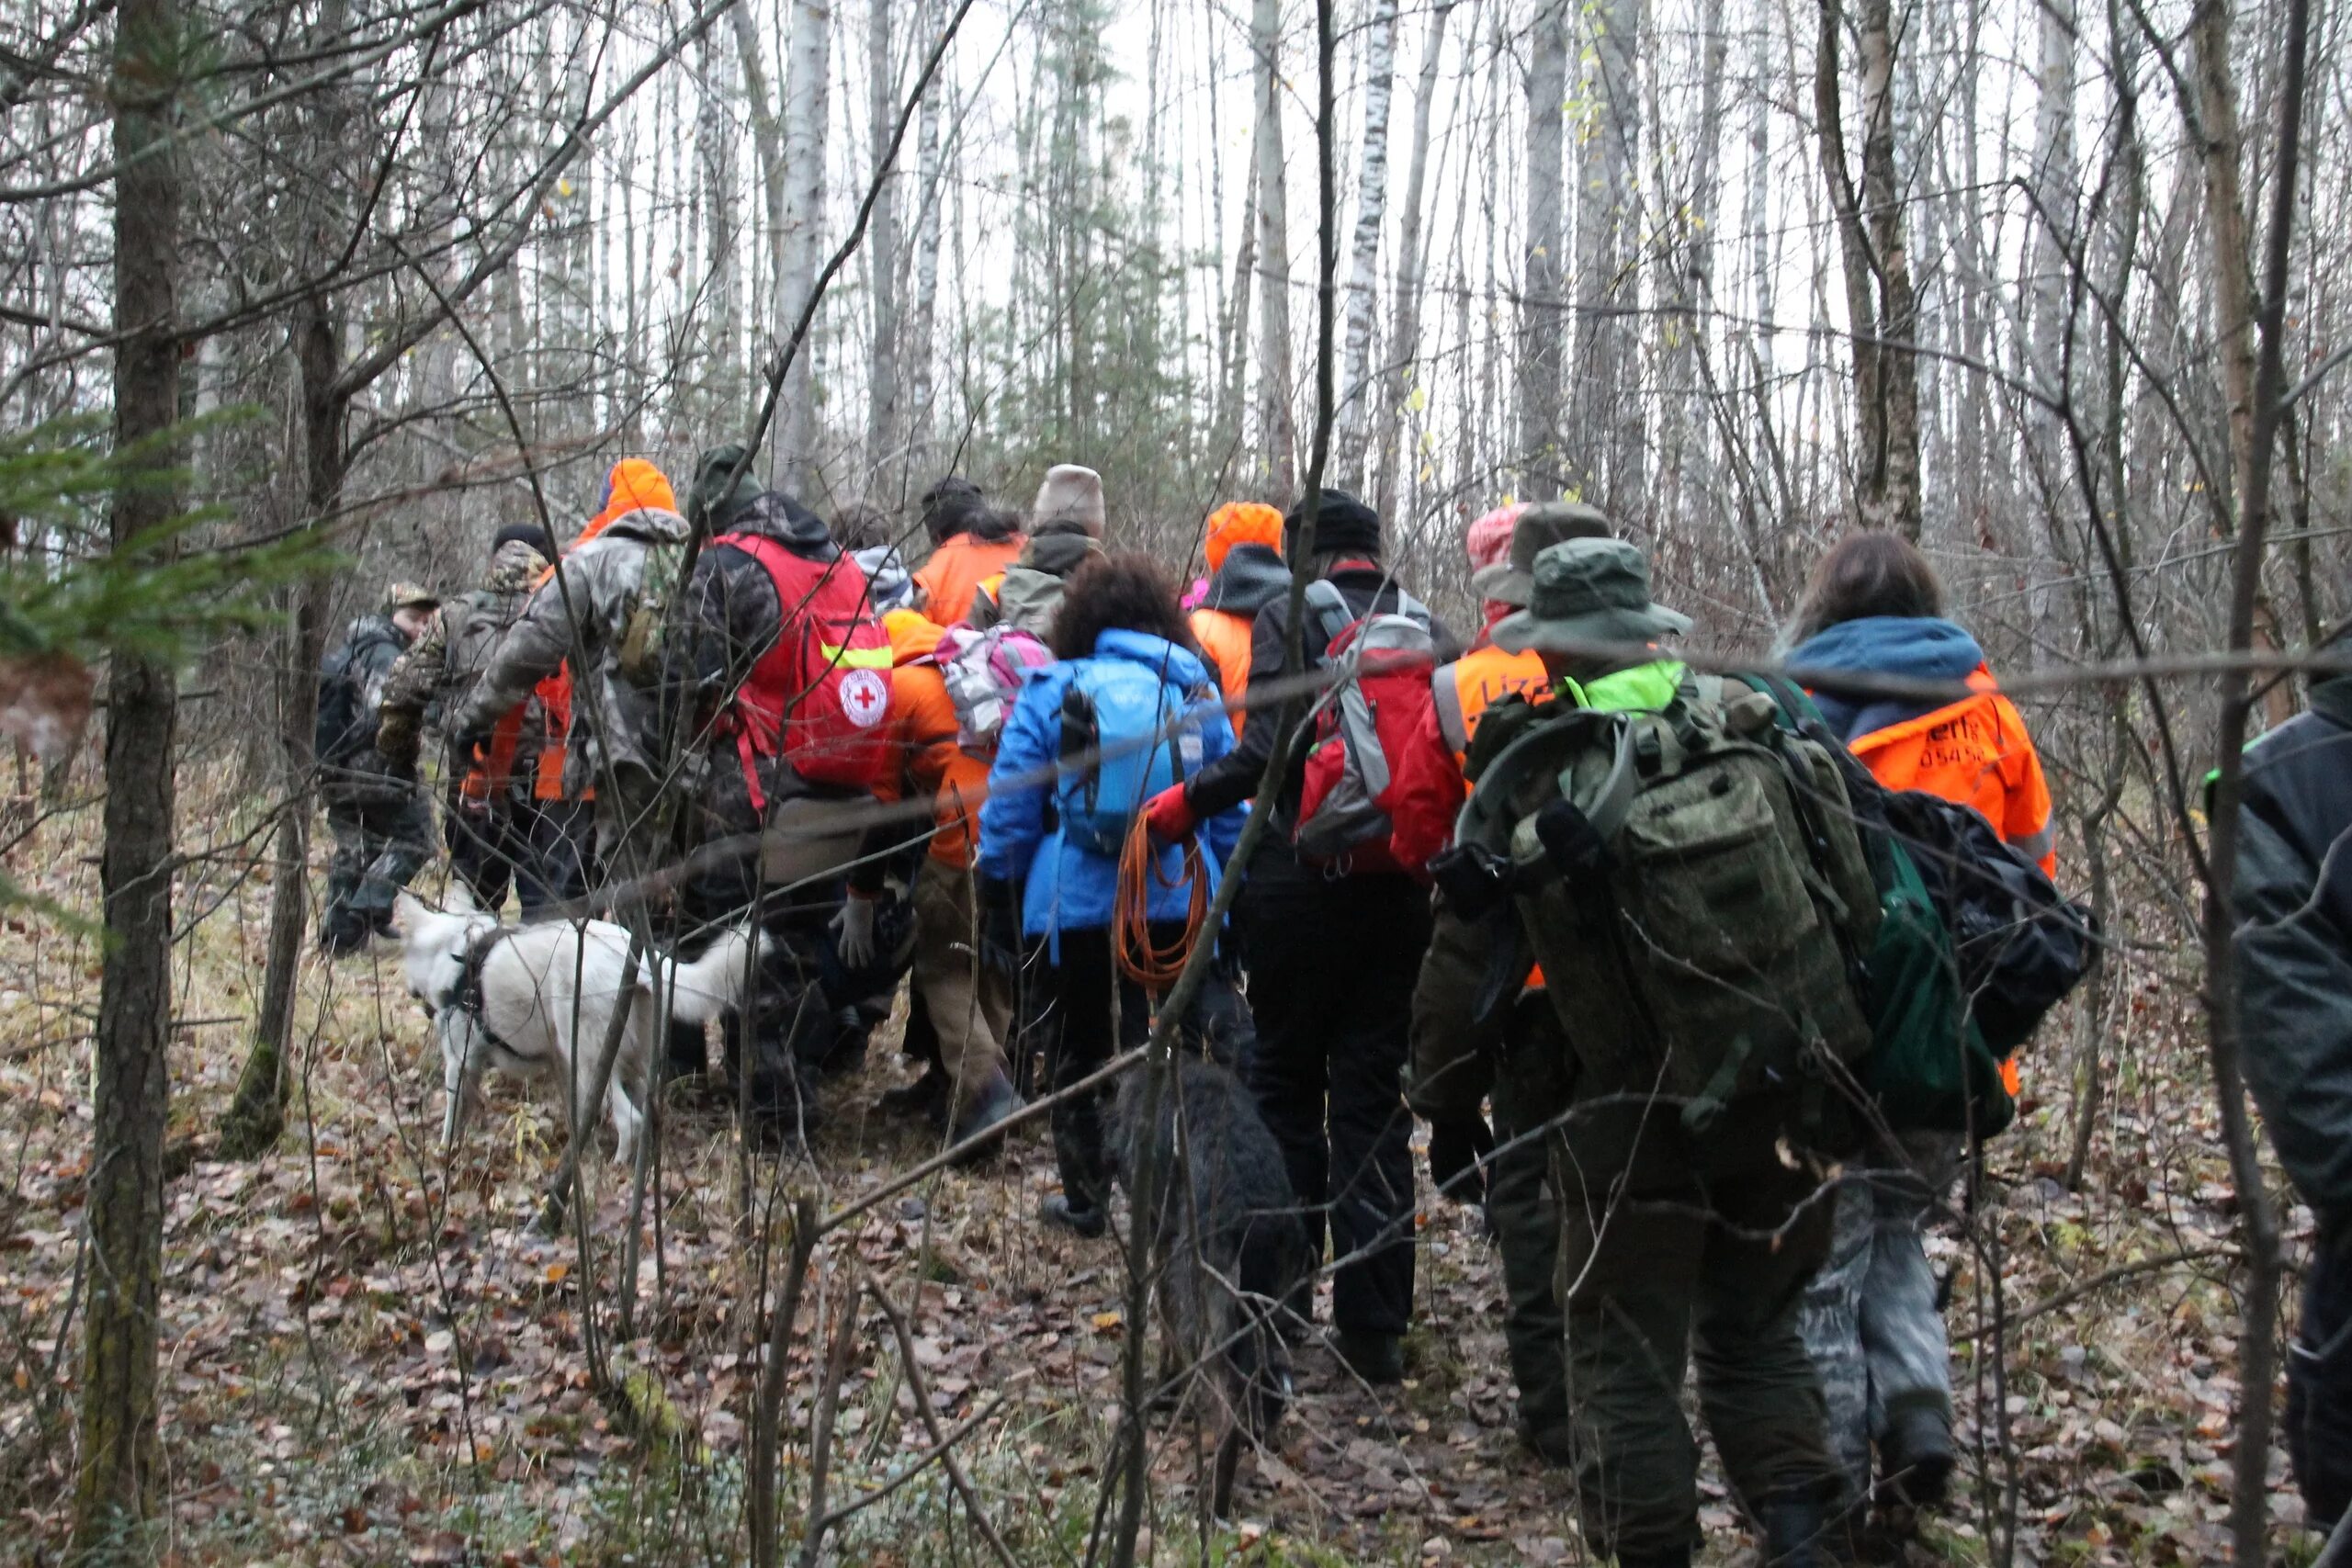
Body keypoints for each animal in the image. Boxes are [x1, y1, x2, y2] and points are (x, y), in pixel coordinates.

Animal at [395, 888, 762, 1161]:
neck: (454, 951)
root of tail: (634, 959)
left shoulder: (462, 1063)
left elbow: (452, 1117)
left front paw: (445, 1152)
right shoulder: (559, 1065)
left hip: (594, 1062)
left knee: (630, 1120)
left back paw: (615, 1167)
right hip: (632, 1064)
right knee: (648, 1114)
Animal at [1110, 1053, 1317, 1523]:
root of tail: (1253, 1219)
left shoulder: (1160, 1238)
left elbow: (1163, 1327)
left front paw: (1164, 1389)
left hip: (1206, 1315)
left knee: (1227, 1415)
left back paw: (1212, 1505)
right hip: (1265, 1310)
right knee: (1267, 1379)